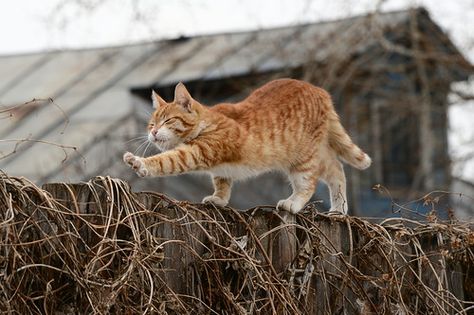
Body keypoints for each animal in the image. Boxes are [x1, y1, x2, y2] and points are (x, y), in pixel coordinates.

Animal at [124, 79, 372, 215]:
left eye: (167, 121)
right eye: (152, 124)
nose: (153, 133)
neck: (205, 122)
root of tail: (320, 91)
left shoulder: (196, 152)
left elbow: (166, 161)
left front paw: (140, 163)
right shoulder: (219, 169)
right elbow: (222, 183)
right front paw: (219, 199)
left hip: (303, 157)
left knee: (308, 183)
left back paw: (293, 202)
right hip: (314, 154)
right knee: (337, 170)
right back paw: (339, 209)